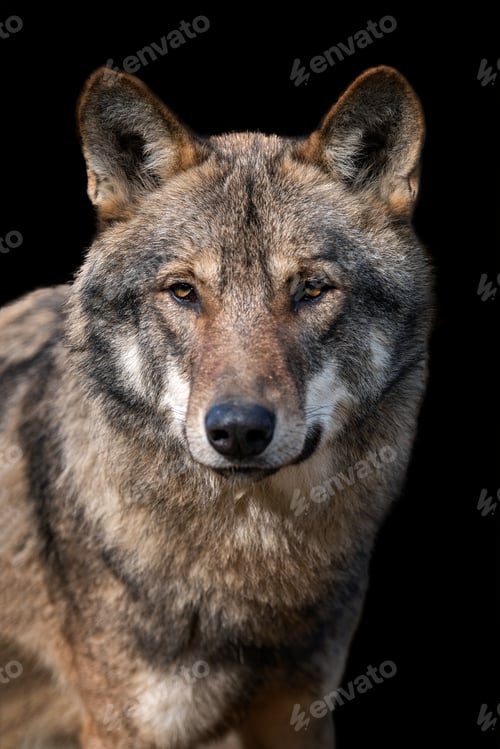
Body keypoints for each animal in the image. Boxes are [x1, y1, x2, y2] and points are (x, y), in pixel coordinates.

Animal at [0, 65, 433, 748]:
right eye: (184, 292)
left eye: (311, 290)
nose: (238, 430)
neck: (250, 558)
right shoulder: (125, 726)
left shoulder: (301, 711)